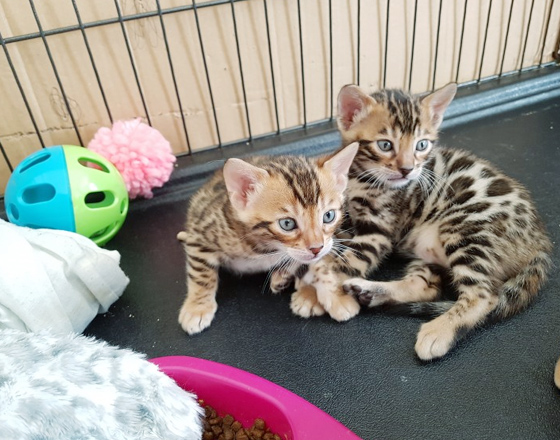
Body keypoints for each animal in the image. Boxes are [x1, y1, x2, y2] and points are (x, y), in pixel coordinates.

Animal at [176, 143, 358, 336]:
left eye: (328, 216)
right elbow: (201, 275)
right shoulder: (201, 233)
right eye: (287, 224)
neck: (268, 247)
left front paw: (336, 296)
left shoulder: (322, 246)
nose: (317, 248)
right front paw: (197, 308)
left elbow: (320, 266)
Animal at [294, 82, 552, 360]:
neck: (361, 177)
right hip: (427, 249)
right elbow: (323, 250)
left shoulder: (377, 231)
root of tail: (541, 241)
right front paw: (310, 288)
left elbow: (338, 263)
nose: (408, 170)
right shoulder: (339, 221)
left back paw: (438, 332)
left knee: (483, 294)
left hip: (465, 229)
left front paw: (314, 294)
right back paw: (369, 292)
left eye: (422, 145)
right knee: (427, 285)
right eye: (385, 144)